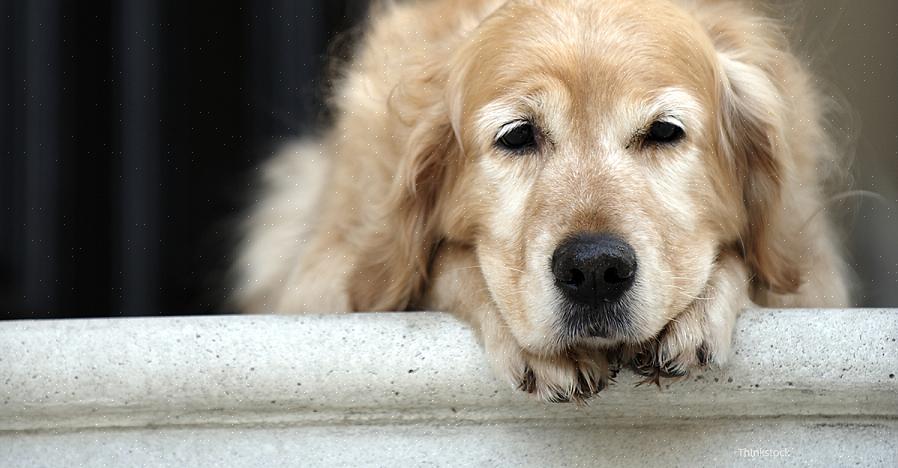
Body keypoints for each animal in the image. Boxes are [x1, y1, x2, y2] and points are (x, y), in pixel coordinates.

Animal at [231, 0, 848, 402]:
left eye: (663, 132)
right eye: (518, 135)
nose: (595, 270)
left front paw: (697, 309)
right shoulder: (326, 280)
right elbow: (441, 264)